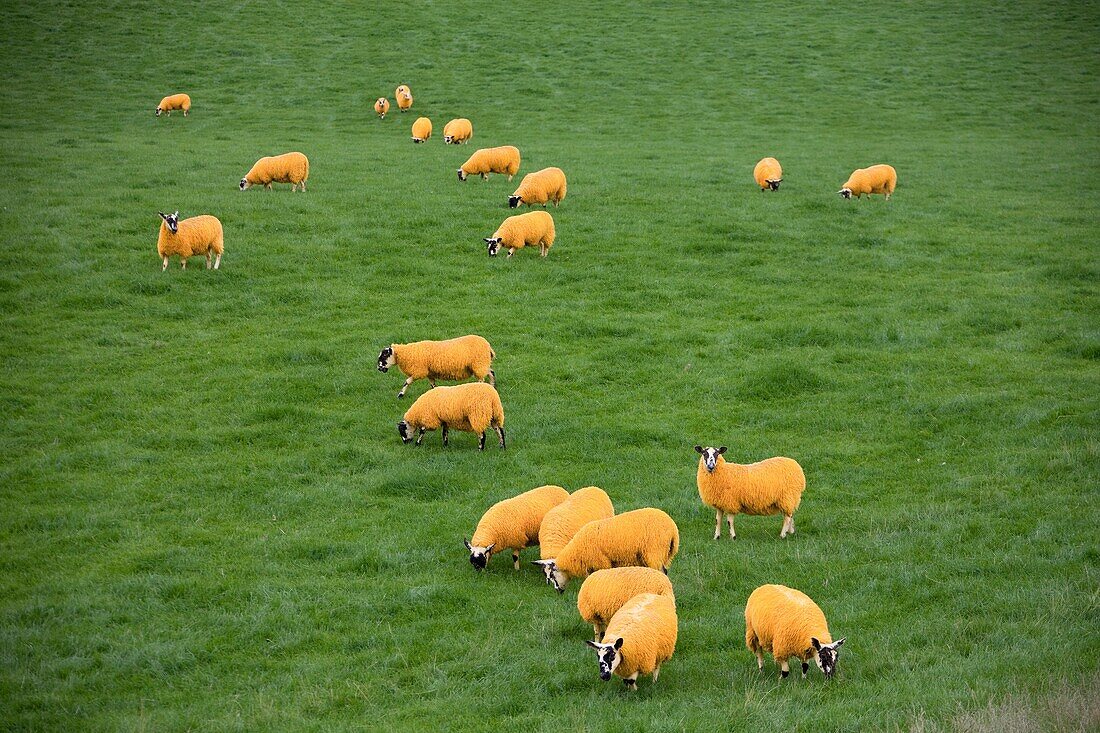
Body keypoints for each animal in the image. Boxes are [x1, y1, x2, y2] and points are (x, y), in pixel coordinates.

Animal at [532, 508, 677, 594]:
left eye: (551, 575)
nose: (558, 591)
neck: (575, 554)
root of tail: (673, 530)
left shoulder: (601, 562)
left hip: (655, 551)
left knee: (661, 573)